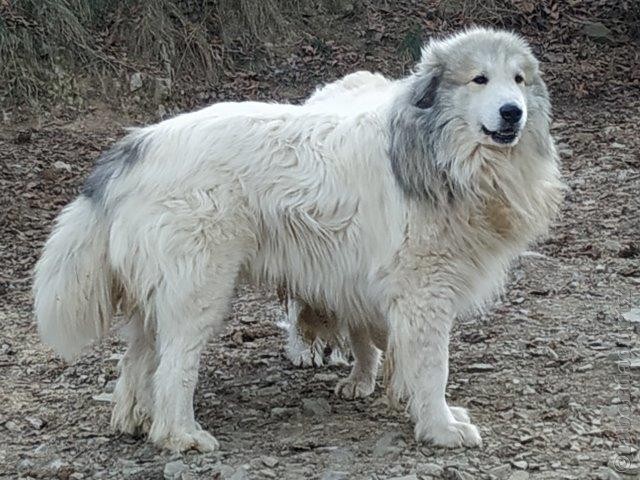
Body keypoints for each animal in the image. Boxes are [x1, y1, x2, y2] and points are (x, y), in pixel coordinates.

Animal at [32, 28, 564, 452]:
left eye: (519, 80)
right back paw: (179, 434)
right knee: (173, 366)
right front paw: (440, 427)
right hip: (198, 290)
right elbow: (435, 368)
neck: (438, 151)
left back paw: (136, 420)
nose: (513, 113)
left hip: (159, 292)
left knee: (139, 358)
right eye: (479, 79)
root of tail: (136, 145)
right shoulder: (423, 294)